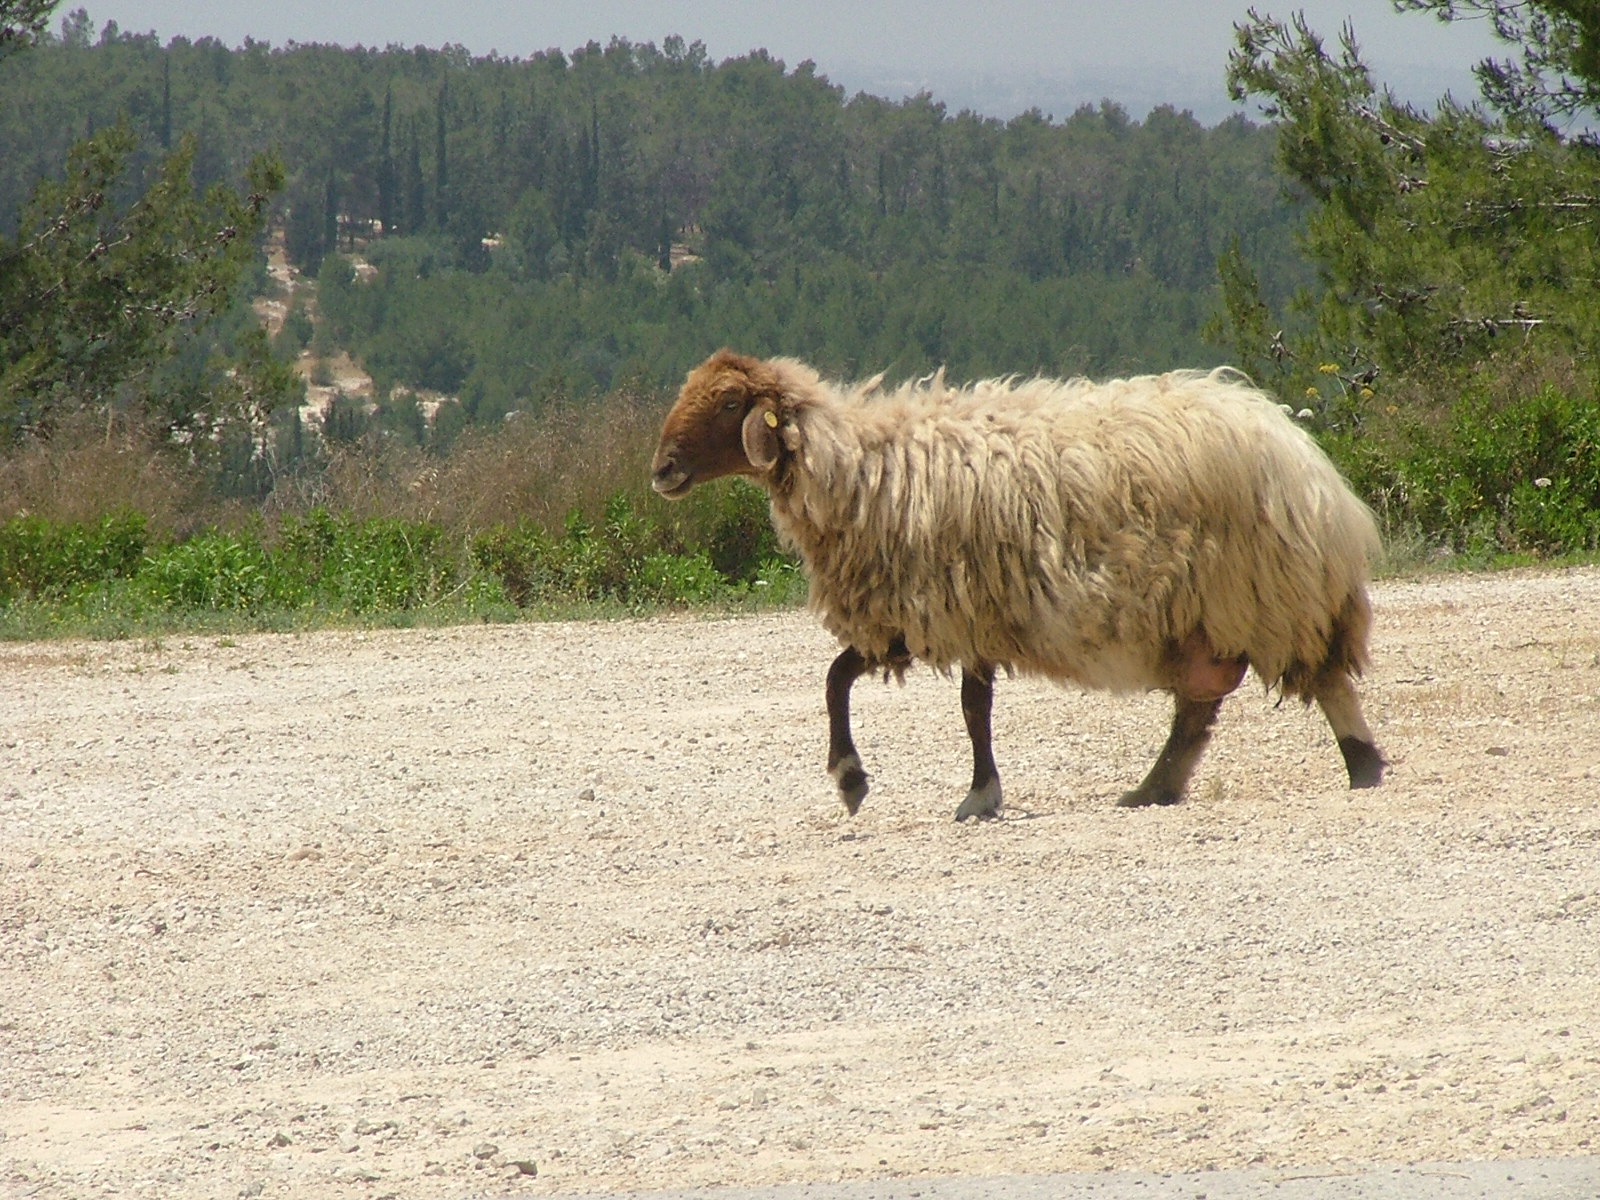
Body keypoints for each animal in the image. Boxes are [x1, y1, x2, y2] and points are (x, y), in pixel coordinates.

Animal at [649, 347, 1388, 819]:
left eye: (730, 402)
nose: (661, 470)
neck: (860, 469)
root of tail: (1304, 457)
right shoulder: (931, 613)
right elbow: (855, 682)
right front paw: (887, 782)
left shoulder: (948, 607)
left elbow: (943, 703)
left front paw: (887, 784)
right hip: (1210, 612)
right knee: (1198, 708)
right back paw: (1153, 789)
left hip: (1270, 593)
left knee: (1321, 680)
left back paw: (1363, 769)